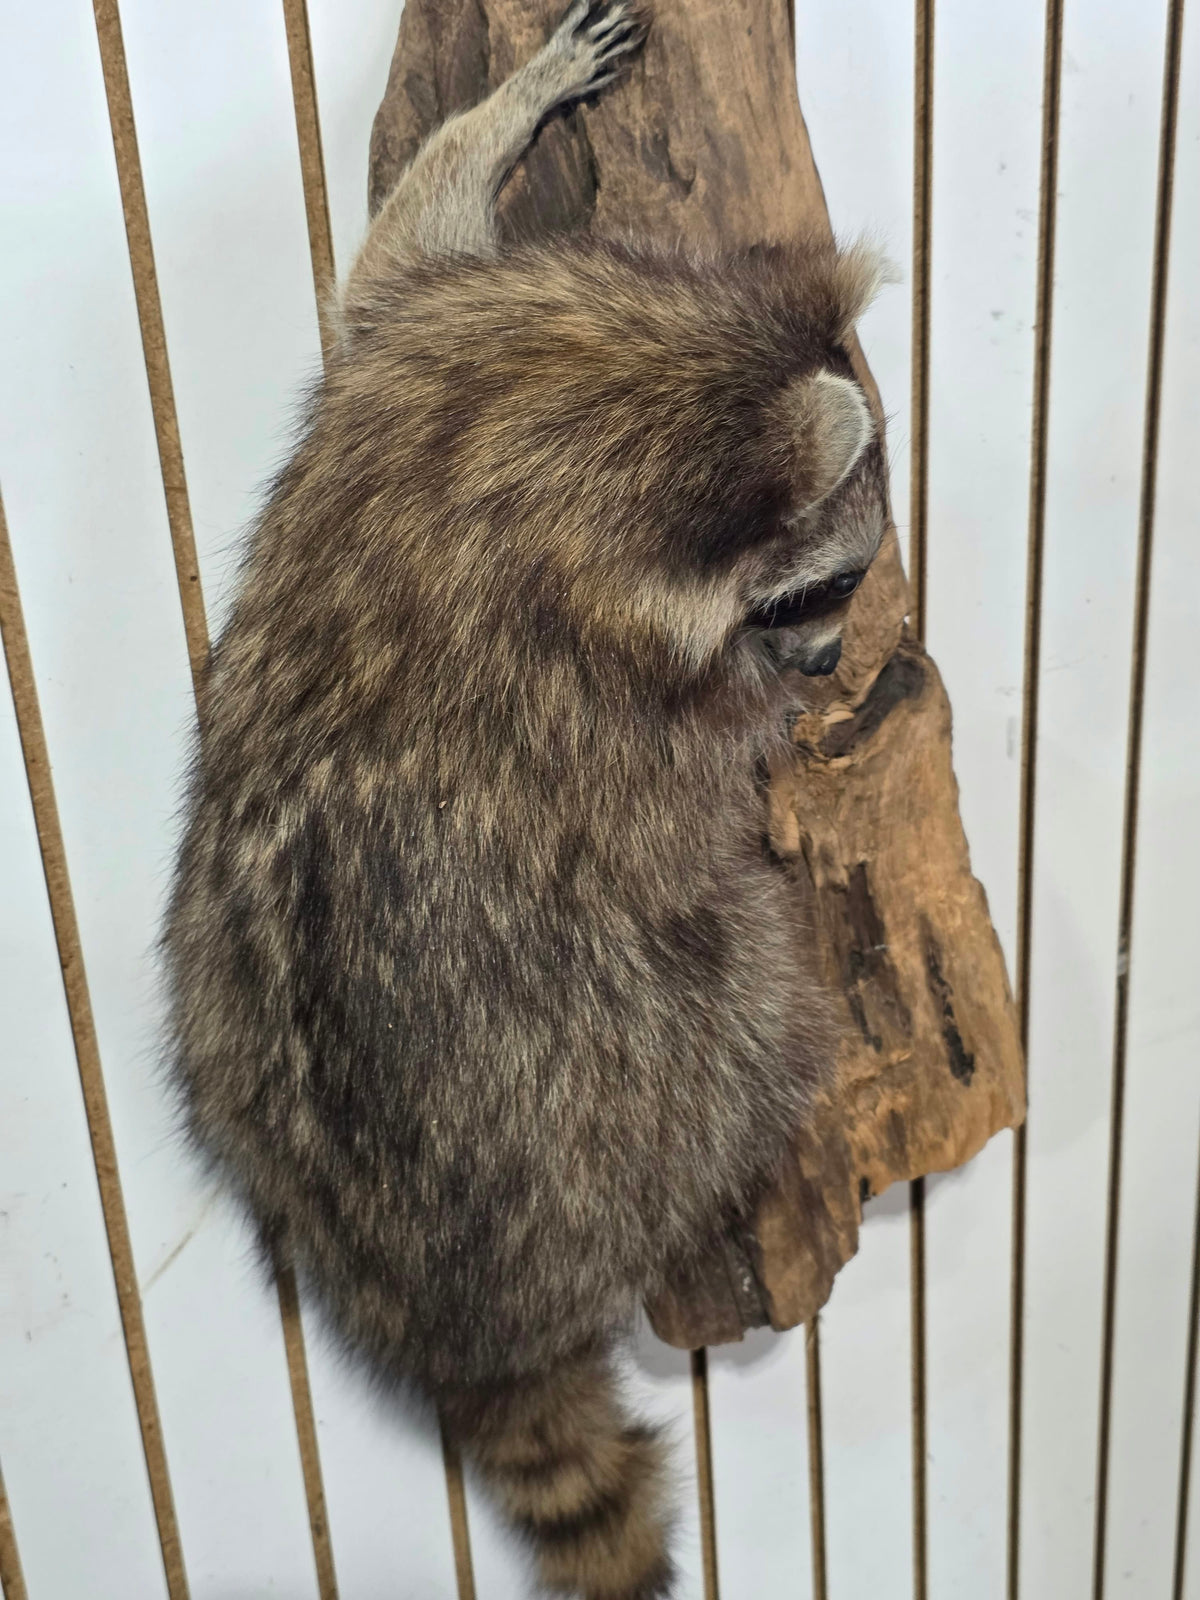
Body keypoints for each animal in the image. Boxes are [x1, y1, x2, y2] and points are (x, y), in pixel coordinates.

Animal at [163, 3, 889, 1594]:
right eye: (814, 588)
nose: (826, 650)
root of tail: (445, 1313)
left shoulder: (429, 355)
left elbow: (391, 257)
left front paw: (496, 118)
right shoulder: (598, 687)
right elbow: (696, 770)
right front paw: (776, 704)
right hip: (635, 1081)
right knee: (735, 989)